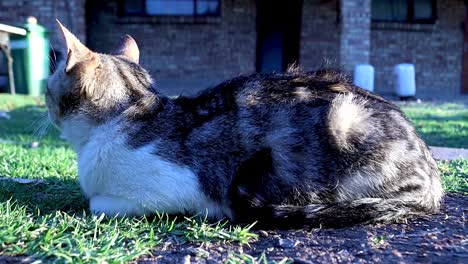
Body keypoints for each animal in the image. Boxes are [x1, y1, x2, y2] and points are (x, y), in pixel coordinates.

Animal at [45, 21, 444, 228]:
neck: (131, 111)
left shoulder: (175, 187)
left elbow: (99, 203)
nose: (45, 107)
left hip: (344, 120)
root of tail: (432, 177)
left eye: (48, 88)